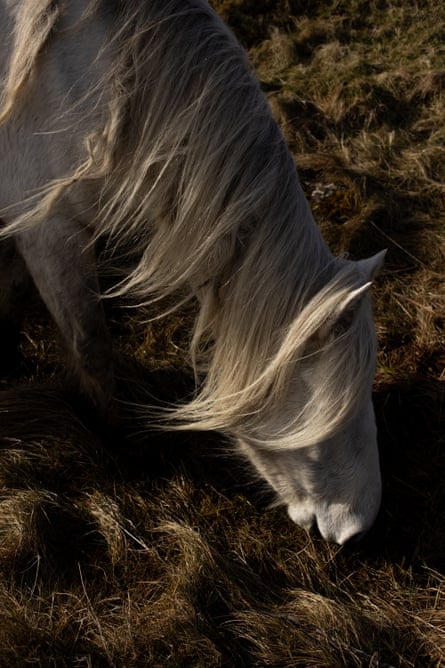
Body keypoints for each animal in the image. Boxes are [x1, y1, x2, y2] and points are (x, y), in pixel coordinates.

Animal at [0, 0, 385, 544]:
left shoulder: (26, 221)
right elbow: (91, 346)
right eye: (334, 407)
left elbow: (12, 286)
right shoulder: (50, 229)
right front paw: (125, 451)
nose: (359, 528)